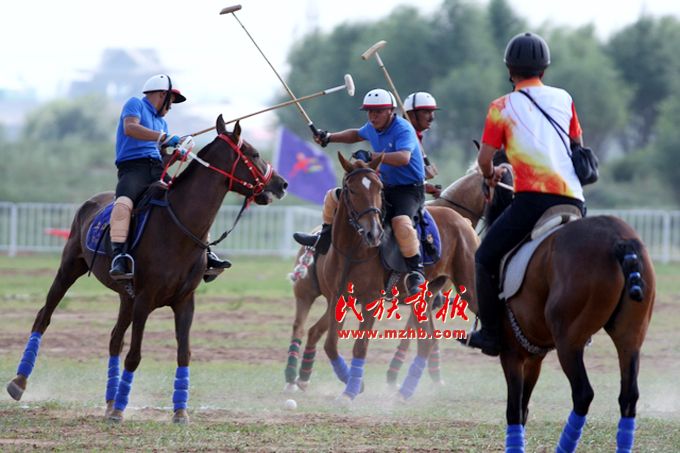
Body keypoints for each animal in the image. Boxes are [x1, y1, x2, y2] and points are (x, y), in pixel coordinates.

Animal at [6, 115, 288, 424]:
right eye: (254, 153)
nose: (282, 183)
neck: (178, 227)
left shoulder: (184, 302)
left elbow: (183, 353)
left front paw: (179, 411)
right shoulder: (144, 300)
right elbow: (135, 354)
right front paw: (121, 408)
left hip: (125, 296)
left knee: (114, 339)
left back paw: (109, 400)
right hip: (70, 268)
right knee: (44, 317)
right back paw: (19, 382)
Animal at [477, 202, 655, 451]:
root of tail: (619, 240)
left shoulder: (512, 353)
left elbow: (514, 410)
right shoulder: (534, 357)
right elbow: (523, 409)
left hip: (568, 343)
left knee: (583, 394)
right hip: (630, 338)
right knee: (628, 397)